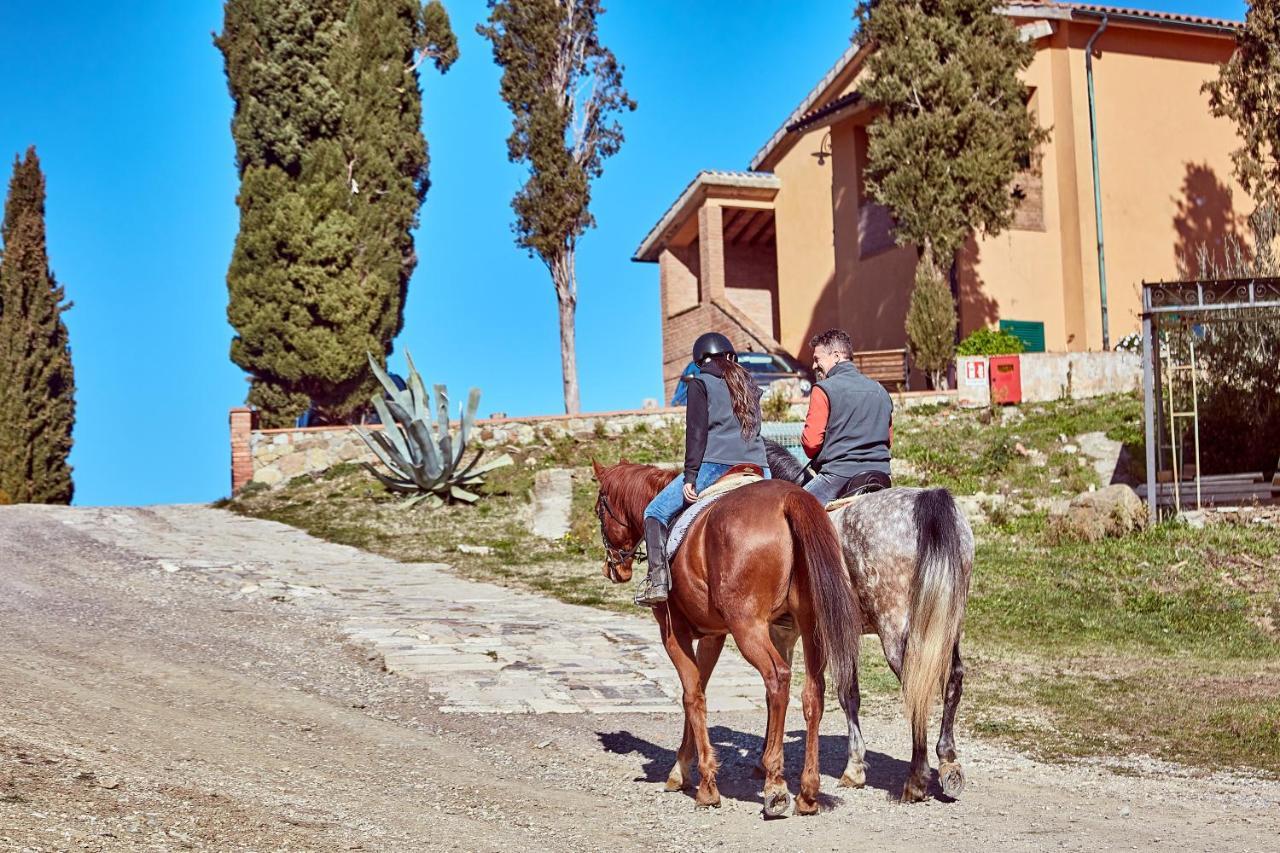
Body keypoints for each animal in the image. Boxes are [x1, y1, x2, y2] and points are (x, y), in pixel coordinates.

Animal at [591, 461, 860, 814]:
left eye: (599, 510)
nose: (613, 569)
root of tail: (789, 498)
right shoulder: (713, 636)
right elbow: (699, 689)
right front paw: (682, 768)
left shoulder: (673, 633)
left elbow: (691, 695)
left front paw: (705, 785)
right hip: (810, 624)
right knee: (813, 692)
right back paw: (807, 792)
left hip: (748, 627)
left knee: (777, 679)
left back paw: (775, 785)